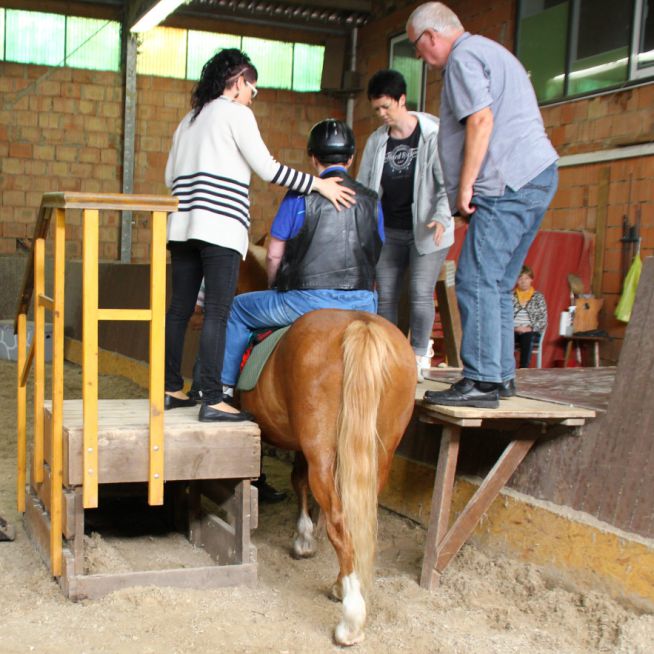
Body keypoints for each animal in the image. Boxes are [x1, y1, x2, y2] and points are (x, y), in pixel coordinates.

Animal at [238, 246, 418, 644]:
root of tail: (359, 325)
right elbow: (299, 481)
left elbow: (294, 480)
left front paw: (304, 538)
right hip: (380, 451)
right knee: (356, 517)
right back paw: (341, 586)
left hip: (322, 448)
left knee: (340, 520)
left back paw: (350, 619)